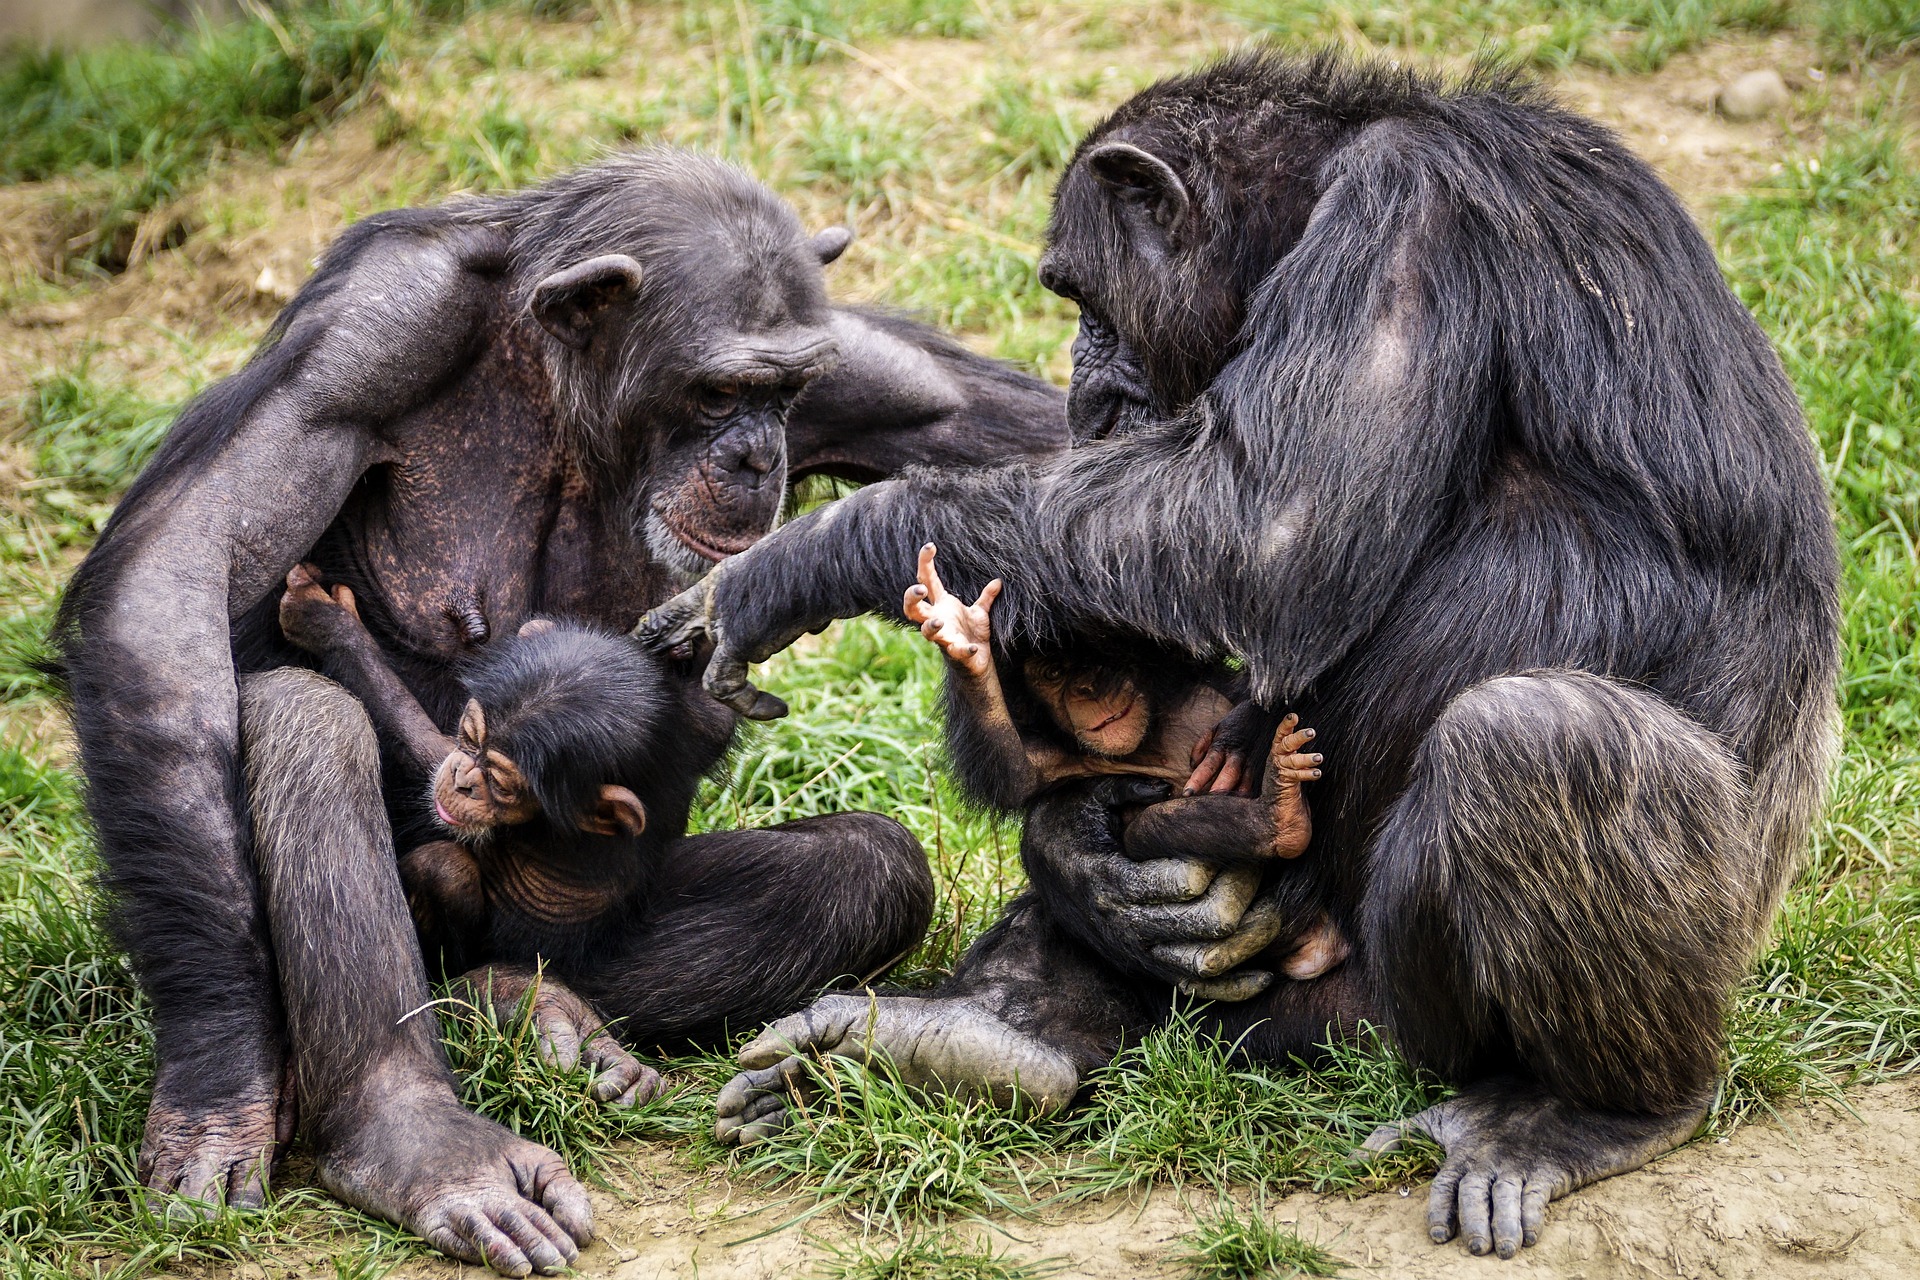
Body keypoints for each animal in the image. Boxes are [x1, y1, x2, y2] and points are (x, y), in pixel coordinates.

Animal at [52, 147, 1067, 1274]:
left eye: (787, 391)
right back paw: (417, 1138)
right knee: (302, 722)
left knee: (868, 866)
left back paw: (536, 1010)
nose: (759, 456)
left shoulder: (856, 363)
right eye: (720, 391)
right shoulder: (367, 333)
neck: (560, 389)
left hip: (573, 934)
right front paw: (219, 1073)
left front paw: (830, 557)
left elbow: (1068, 447)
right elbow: (177, 577)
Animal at [902, 545, 1344, 990]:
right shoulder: (1063, 755)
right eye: (1054, 672)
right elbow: (1016, 772)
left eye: (1101, 657)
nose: (1086, 689)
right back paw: (1279, 816)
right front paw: (965, 637)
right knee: (1148, 827)